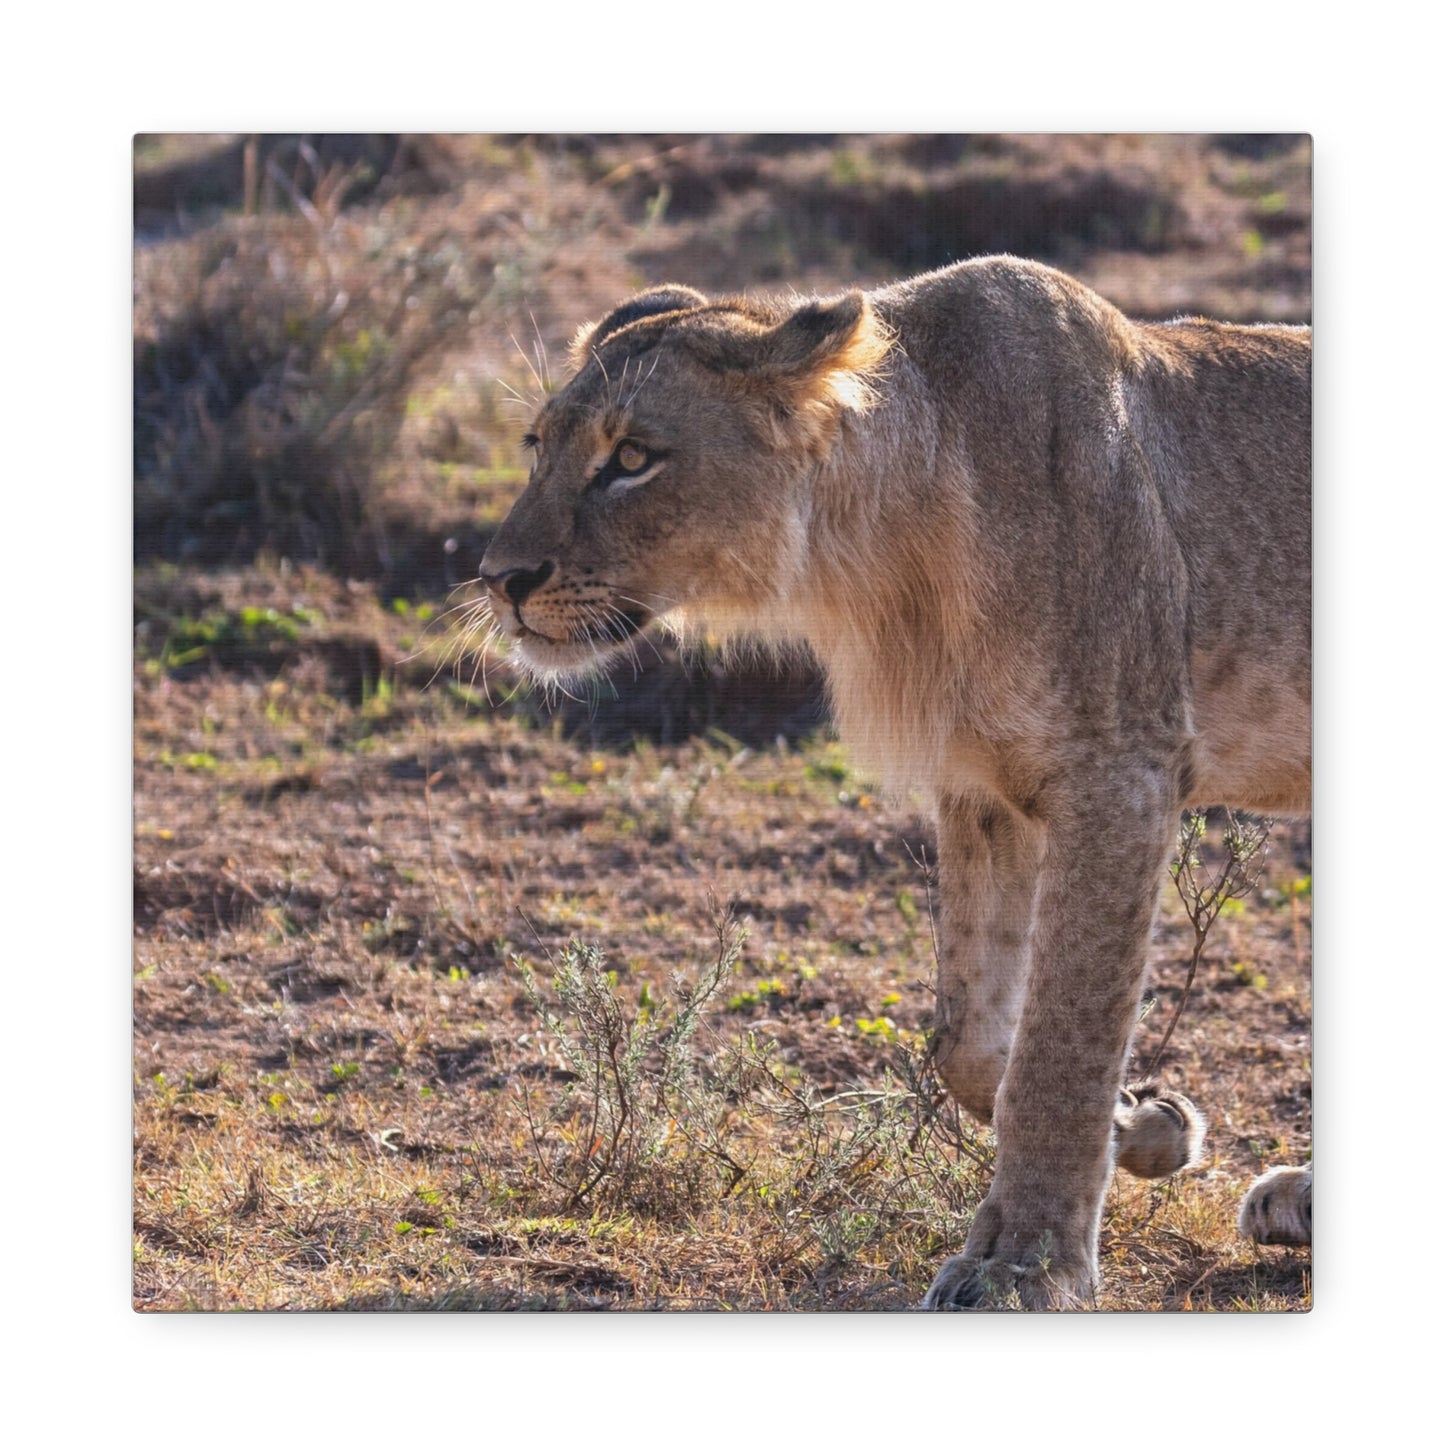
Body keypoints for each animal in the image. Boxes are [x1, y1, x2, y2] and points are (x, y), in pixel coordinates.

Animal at [479, 257, 1311, 1308]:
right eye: (536, 447)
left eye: (632, 457)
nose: (497, 577)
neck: (881, 558)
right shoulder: (982, 788)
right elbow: (972, 1043)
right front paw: (1146, 1126)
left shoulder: (1122, 767)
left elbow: (1061, 1044)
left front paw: (1022, 1266)